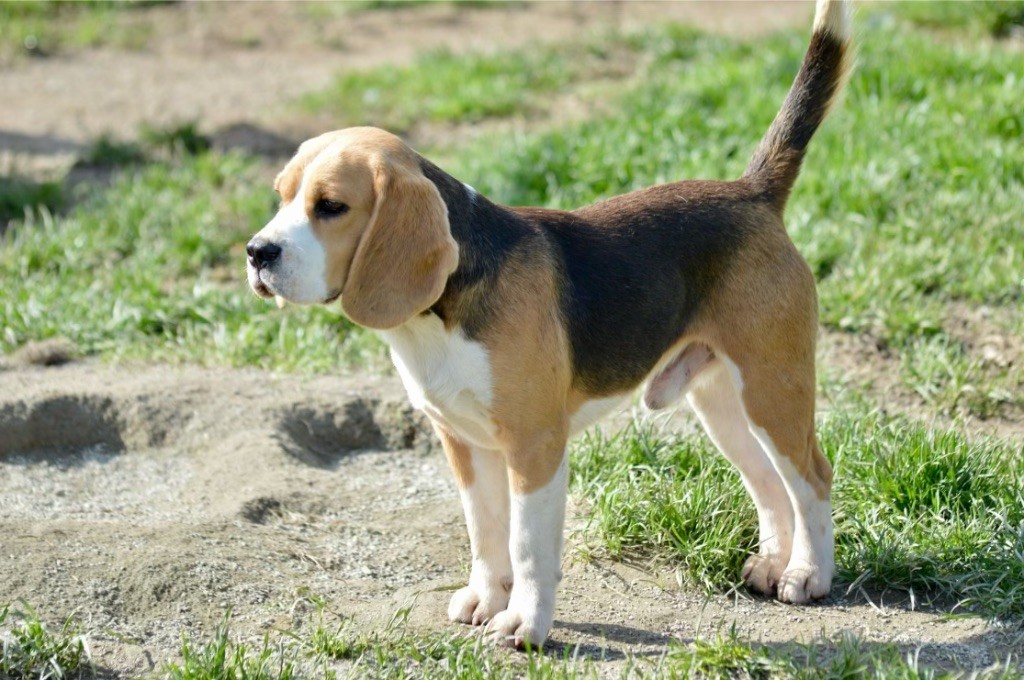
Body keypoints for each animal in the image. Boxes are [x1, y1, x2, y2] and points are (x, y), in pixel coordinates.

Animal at [249, 0, 856, 647]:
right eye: (281, 196)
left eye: (331, 206)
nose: (257, 252)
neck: (439, 315)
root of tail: (751, 191)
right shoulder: (464, 442)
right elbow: (486, 533)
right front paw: (487, 599)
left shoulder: (535, 445)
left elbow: (527, 546)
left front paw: (526, 624)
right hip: (722, 403)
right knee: (769, 483)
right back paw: (773, 562)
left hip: (773, 389)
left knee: (812, 476)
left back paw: (808, 575)